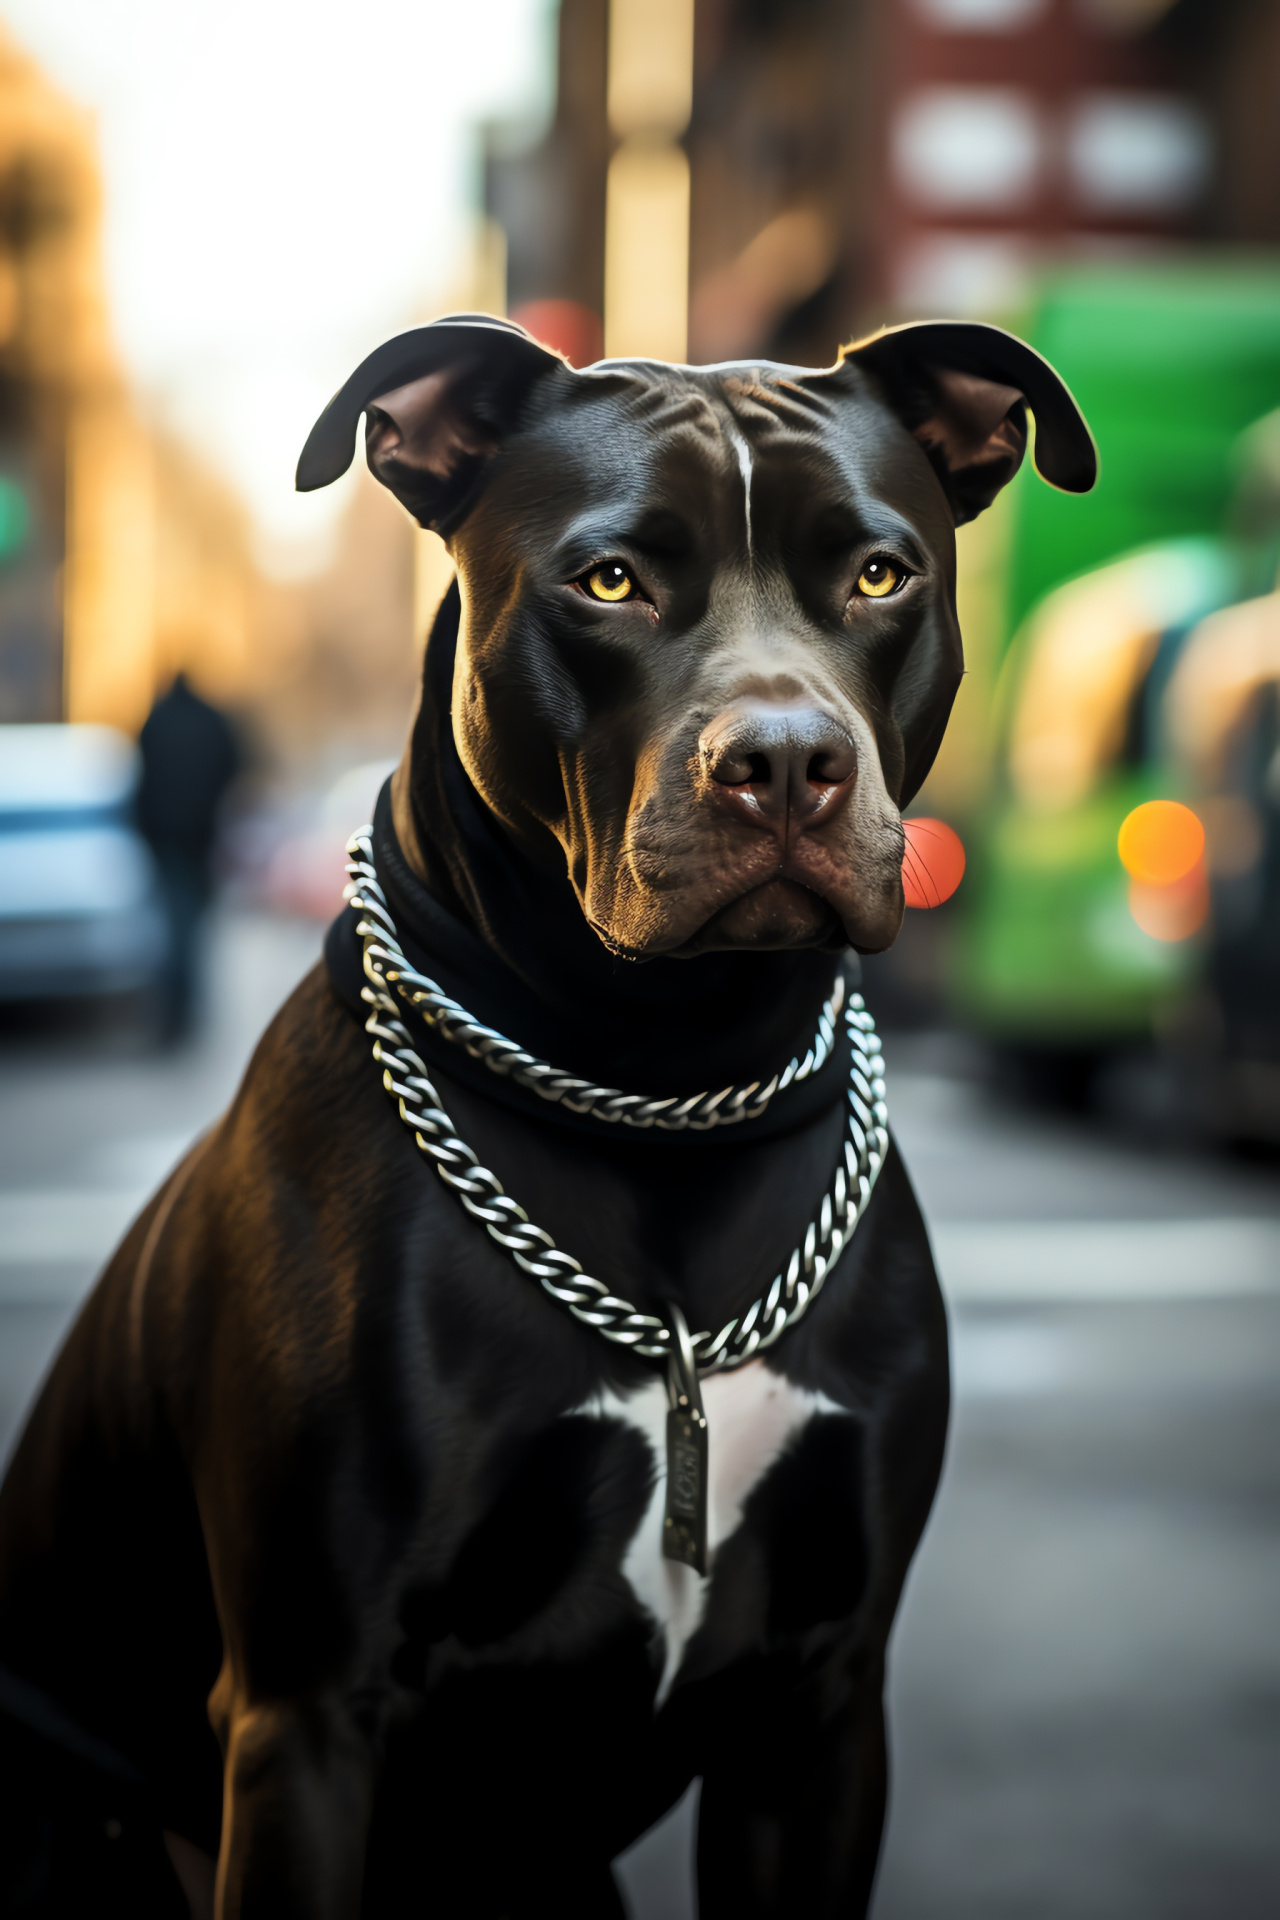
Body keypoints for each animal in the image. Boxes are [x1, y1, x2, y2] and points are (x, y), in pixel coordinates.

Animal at [2, 311, 1090, 1904]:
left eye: (880, 575)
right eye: (612, 579)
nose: (785, 762)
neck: (664, 1082)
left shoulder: (821, 1709)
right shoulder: (309, 1710)